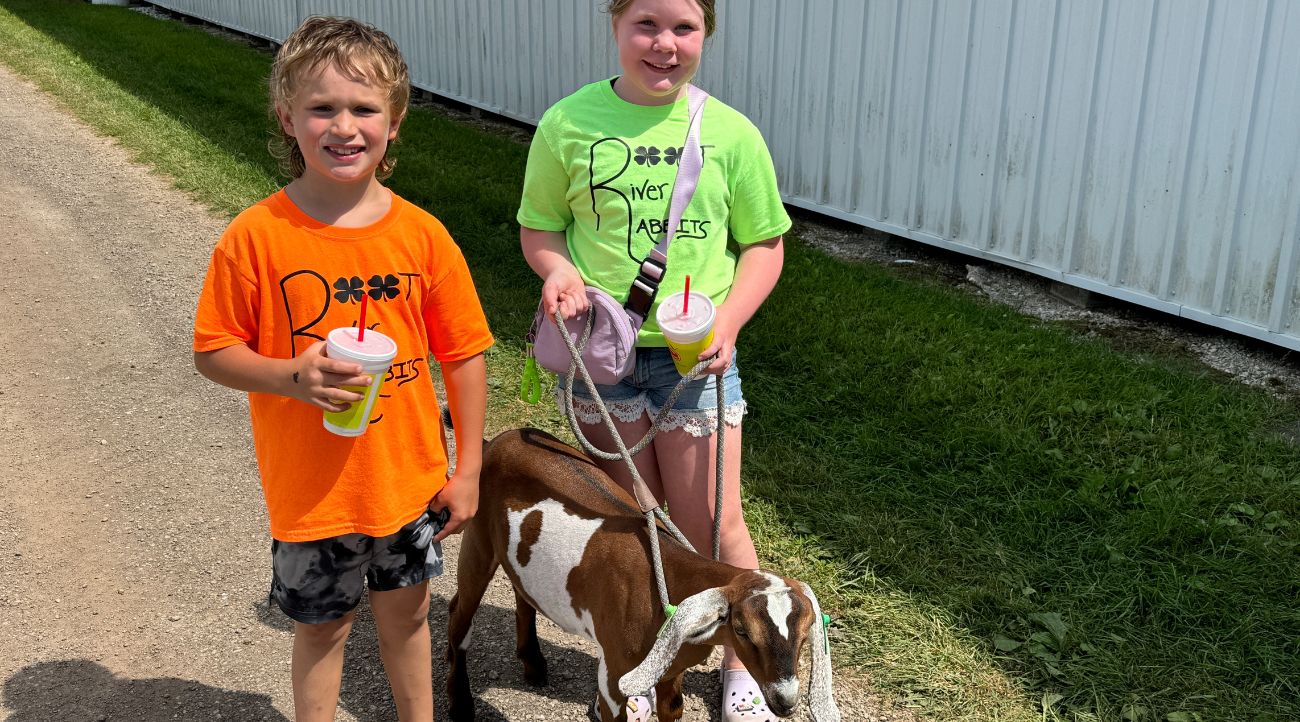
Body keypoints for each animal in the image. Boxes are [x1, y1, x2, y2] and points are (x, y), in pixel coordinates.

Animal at [444, 429, 842, 722]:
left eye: (805, 634)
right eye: (743, 630)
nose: (785, 700)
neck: (672, 582)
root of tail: (497, 440)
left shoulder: (672, 674)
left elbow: (673, 708)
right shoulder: (614, 675)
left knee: (522, 591)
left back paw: (533, 664)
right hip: (477, 537)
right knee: (459, 613)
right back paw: (460, 703)